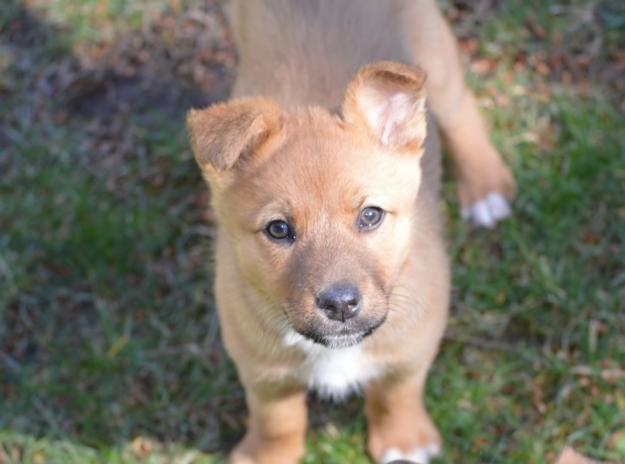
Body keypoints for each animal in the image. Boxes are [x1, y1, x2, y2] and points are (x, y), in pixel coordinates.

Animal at [188, 0, 516, 464]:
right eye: (278, 229)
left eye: (370, 216)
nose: (340, 304)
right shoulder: (258, 365)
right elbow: (276, 419)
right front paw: (267, 455)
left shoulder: (414, 345)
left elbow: (395, 393)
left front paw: (403, 442)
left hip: (434, 52)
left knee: (460, 108)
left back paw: (485, 188)